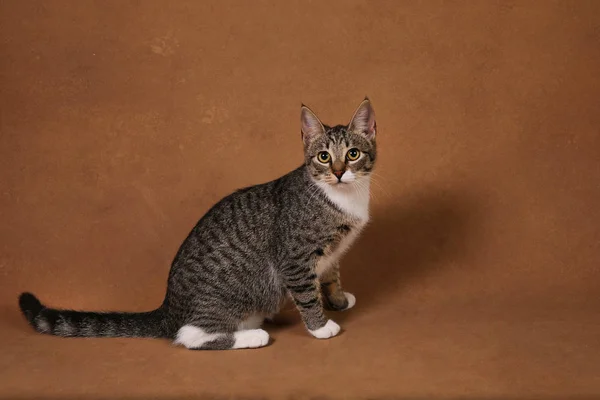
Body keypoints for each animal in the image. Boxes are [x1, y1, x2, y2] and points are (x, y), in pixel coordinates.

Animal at [19, 97, 380, 350]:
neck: (343, 197)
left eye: (352, 154)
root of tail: (168, 308)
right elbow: (307, 293)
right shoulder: (294, 257)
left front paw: (338, 300)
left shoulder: (331, 253)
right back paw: (252, 336)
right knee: (188, 335)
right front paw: (320, 326)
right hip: (229, 298)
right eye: (323, 157)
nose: (338, 172)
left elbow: (330, 276)